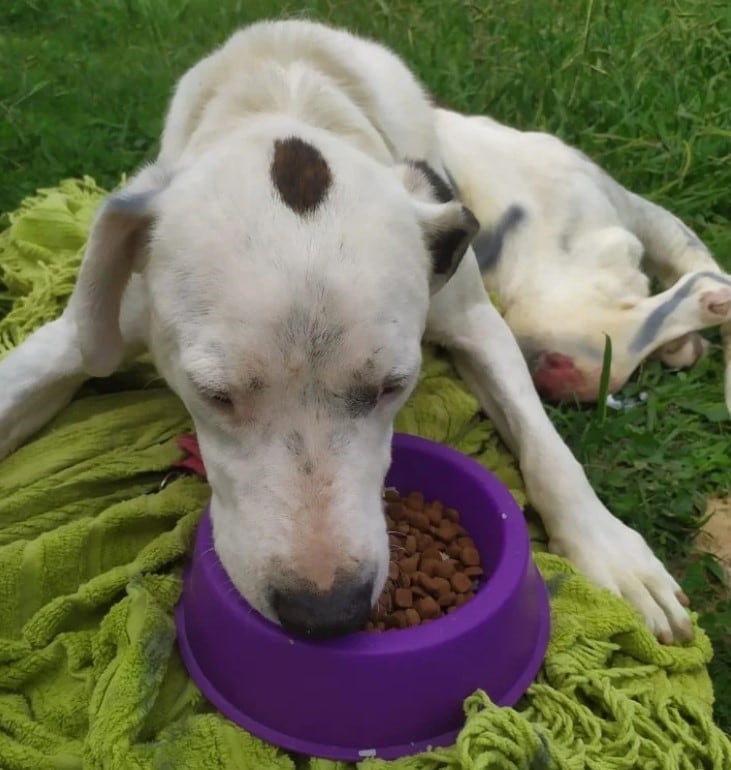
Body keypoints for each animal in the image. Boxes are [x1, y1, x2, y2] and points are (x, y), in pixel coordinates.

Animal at [2, 19, 728, 640]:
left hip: (552, 294)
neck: (283, 96)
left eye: (391, 387)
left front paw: (610, 550)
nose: (325, 612)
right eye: (212, 395)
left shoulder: (477, 324)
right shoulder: (89, 329)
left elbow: (545, 446)